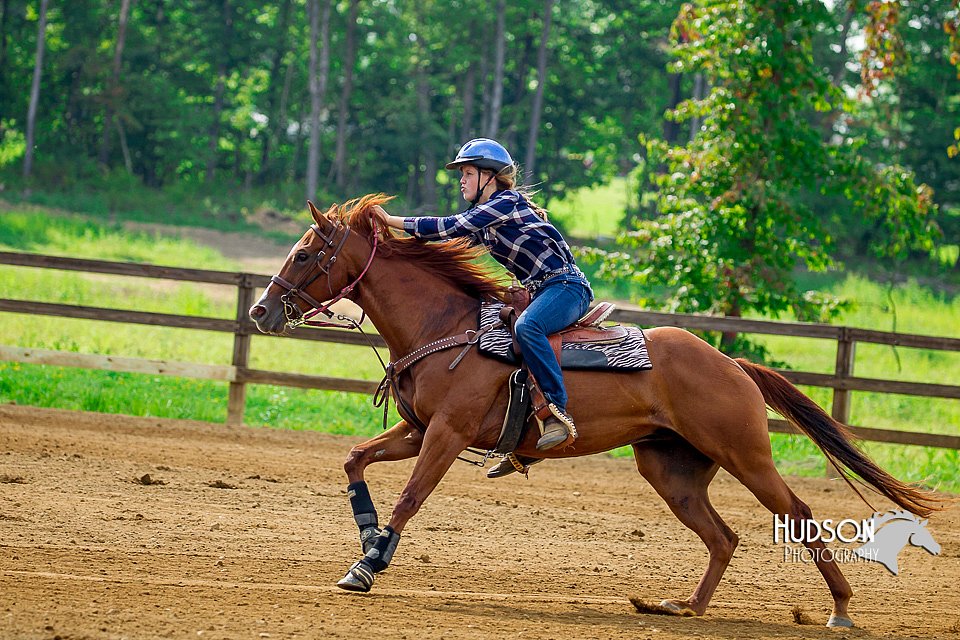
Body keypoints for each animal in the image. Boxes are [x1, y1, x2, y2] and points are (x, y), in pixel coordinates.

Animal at [248, 194, 944, 624]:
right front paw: (367, 536)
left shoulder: (446, 434)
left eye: (305, 253)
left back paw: (841, 607)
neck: (447, 325)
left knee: (797, 515)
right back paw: (682, 608)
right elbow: (355, 460)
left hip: (745, 454)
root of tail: (731, 364)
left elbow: (412, 497)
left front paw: (369, 564)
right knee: (723, 536)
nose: (260, 310)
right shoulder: (418, 430)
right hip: (670, 470)